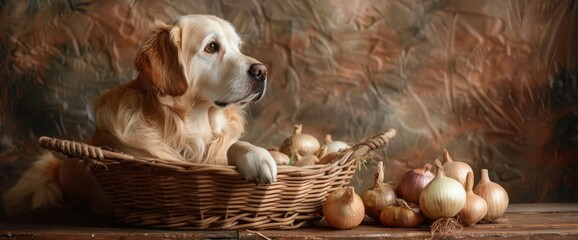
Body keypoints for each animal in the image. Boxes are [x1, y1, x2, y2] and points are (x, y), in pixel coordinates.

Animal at [3, 14, 276, 215]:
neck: (186, 125)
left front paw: (257, 156)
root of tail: (57, 165)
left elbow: (233, 146)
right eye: (211, 47)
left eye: (238, 47)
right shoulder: (142, 159)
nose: (262, 71)